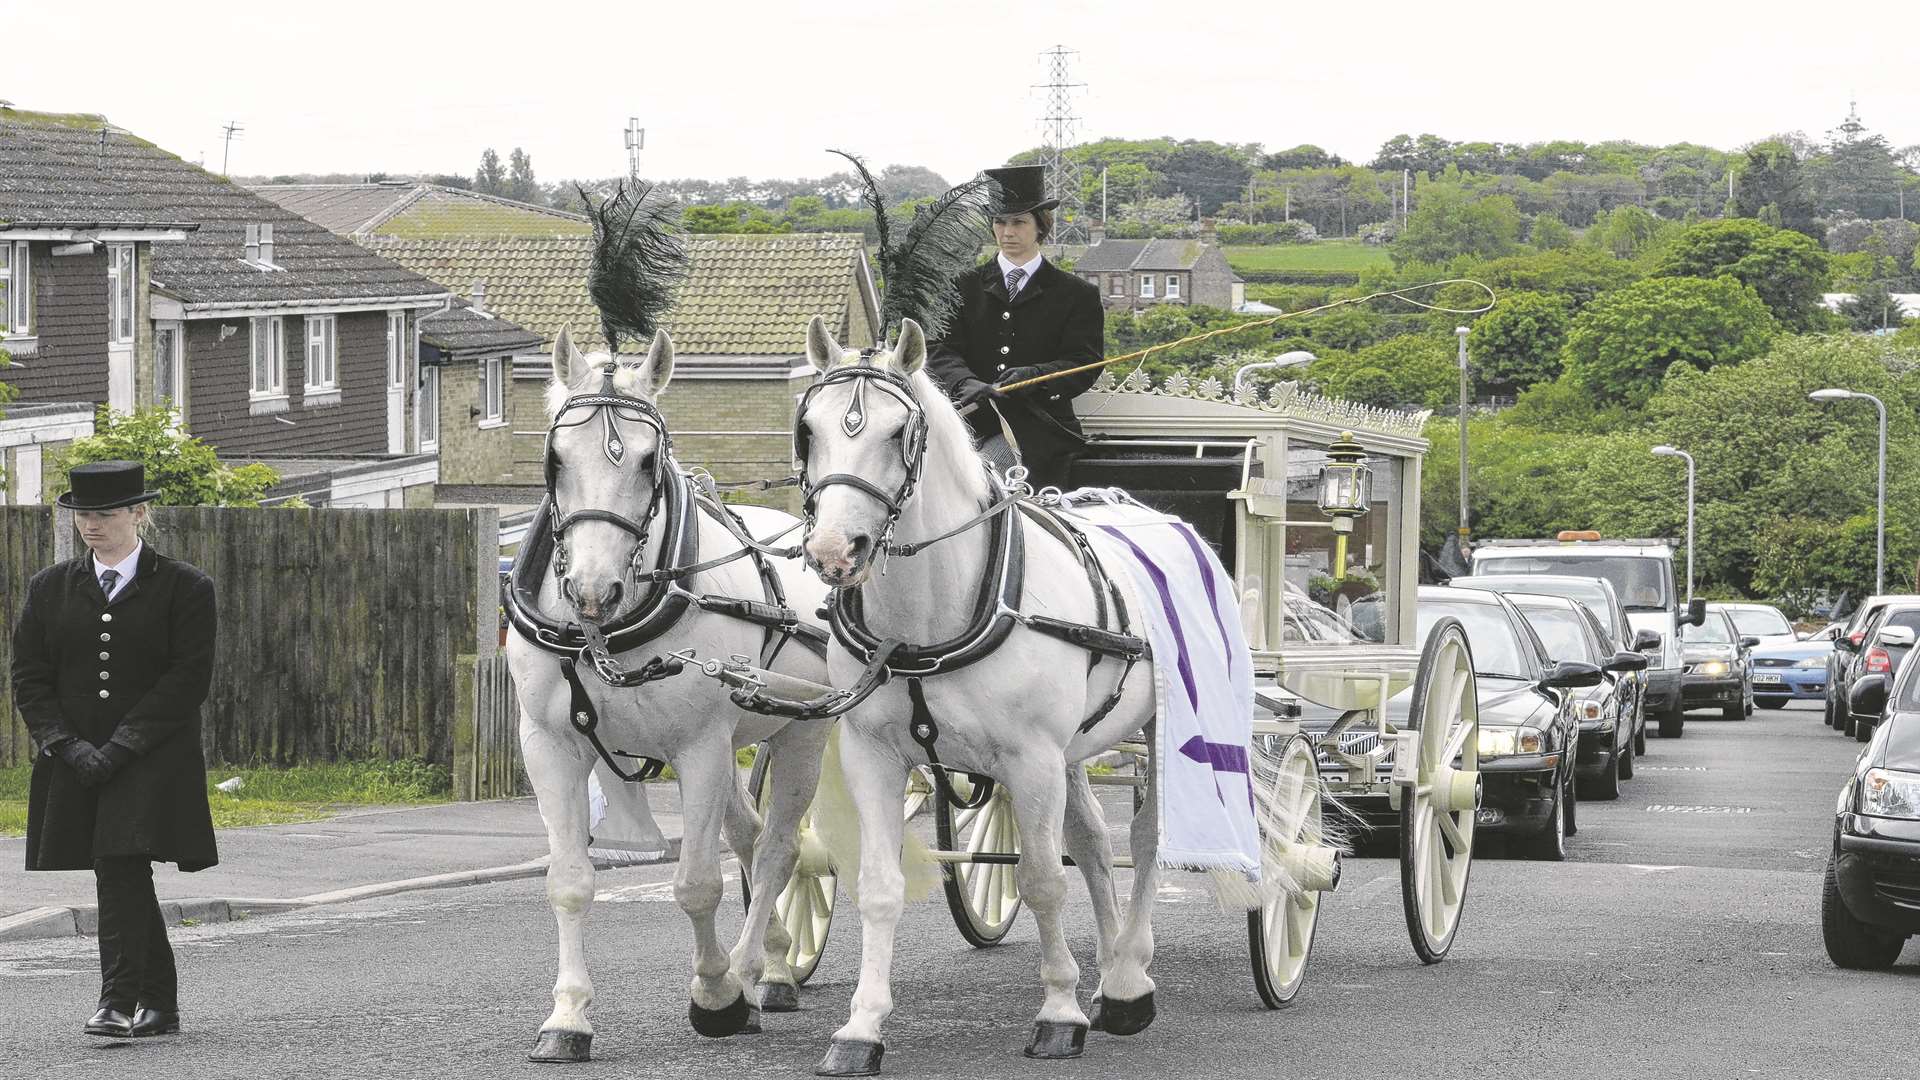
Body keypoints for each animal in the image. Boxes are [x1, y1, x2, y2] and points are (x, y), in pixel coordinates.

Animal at [510, 326, 833, 1060]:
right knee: (747, 836)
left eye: (648, 459)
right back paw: (774, 963)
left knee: (778, 849)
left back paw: (751, 974)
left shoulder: (700, 747)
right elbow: (569, 882)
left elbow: (696, 884)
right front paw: (567, 1017)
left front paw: (715, 995)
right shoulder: (550, 745)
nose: (592, 591)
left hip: (801, 731)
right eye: (555, 456)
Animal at [791, 315, 1167, 1068]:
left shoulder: (1031, 758)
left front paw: (1058, 1012)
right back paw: (1113, 969)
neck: (928, 615)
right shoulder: (873, 755)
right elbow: (879, 887)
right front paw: (861, 1027)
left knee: (1144, 840)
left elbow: (1043, 880)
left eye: (896, 434)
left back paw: (1130, 979)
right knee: (1091, 839)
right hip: (1073, 751)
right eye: (808, 429)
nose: (834, 552)